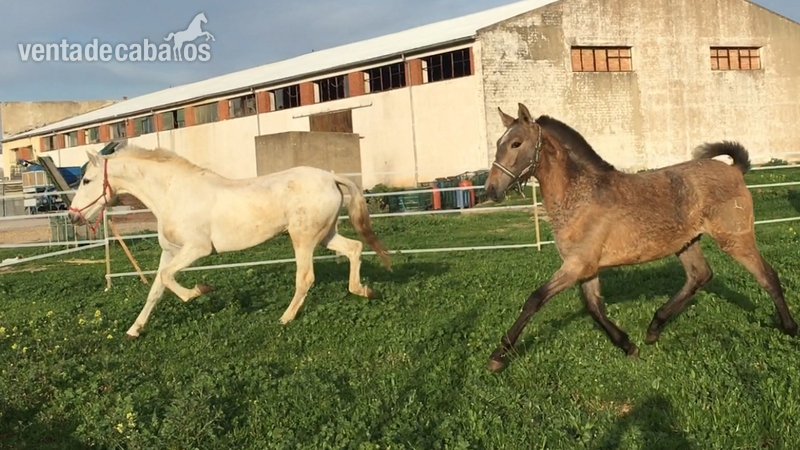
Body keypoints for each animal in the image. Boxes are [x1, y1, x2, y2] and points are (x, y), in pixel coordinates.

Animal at [67, 145, 392, 339]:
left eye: (86, 181)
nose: (72, 216)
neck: (174, 192)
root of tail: (331, 177)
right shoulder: (169, 252)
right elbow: (156, 289)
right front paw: (134, 329)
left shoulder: (197, 249)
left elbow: (169, 279)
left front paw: (200, 290)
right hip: (324, 235)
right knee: (355, 249)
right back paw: (365, 290)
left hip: (304, 239)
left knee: (306, 277)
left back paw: (285, 318)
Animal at [483, 102, 798, 372]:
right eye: (499, 143)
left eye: (516, 143)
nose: (491, 190)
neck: (582, 193)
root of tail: (735, 170)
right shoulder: (585, 267)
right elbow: (594, 307)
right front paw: (628, 346)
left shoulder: (576, 265)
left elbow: (535, 300)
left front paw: (498, 356)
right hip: (686, 243)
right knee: (700, 275)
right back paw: (653, 329)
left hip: (735, 239)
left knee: (767, 276)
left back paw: (790, 327)